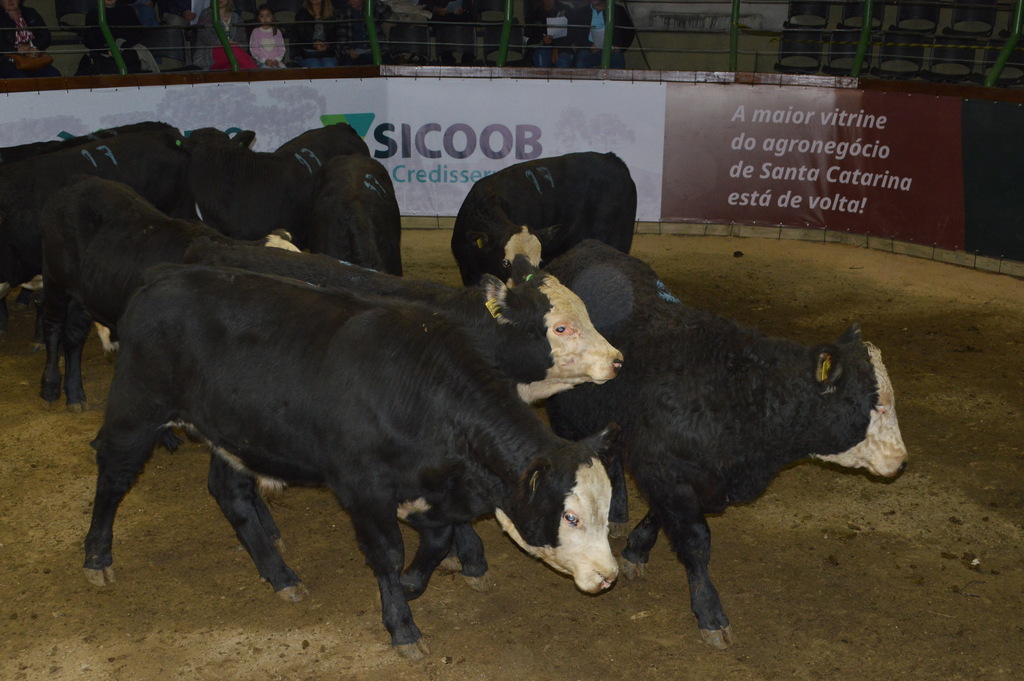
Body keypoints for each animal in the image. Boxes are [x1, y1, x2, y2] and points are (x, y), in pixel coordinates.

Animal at [38, 175, 296, 409]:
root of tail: (76, 182)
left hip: (84, 293)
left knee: (74, 336)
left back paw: (75, 394)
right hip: (55, 280)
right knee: (53, 326)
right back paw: (50, 387)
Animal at [81, 266, 614, 659]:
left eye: (608, 512)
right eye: (570, 516)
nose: (609, 576)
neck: (422, 387)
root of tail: (157, 282)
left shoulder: (426, 485)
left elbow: (437, 540)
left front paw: (414, 583)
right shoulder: (364, 487)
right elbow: (389, 552)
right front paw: (403, 626)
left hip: (231, 434)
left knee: (231, 495)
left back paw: (281, 576)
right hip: (136, 409)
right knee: (113, 476)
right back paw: (97, 558)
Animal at [544, 238, 905, 647]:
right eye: (875, 404)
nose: (900, 460)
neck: (738, 392)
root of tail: (585, 247)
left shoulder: (680, 473)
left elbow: (659, 514)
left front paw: (636, 549)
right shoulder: (668, 471)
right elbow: (696, 541)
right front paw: (710, 613)